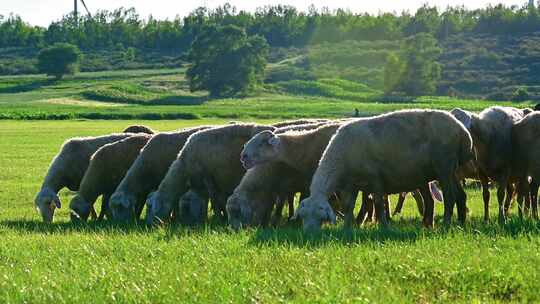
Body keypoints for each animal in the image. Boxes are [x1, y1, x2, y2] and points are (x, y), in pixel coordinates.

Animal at [144, 122, 274, 224]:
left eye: (151, 207)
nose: (149, 225)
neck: (184, 165)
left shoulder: (208, 178)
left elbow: (215, 201)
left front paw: (218, 219)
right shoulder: (202, 185)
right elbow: (208, 202)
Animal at [294, 109, 474, 230]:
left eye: (320, 216)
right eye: (302, 217)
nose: (309, 234)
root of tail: (462, 131)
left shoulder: (375, 178)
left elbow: (379, 204)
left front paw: (383, 227)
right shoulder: (351, 185)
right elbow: (348, 206)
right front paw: (347, 228)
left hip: (444, 165)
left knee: (450, 196)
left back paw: (447, 224)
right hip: (451, 169)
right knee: (460, 195)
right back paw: (460, 223)